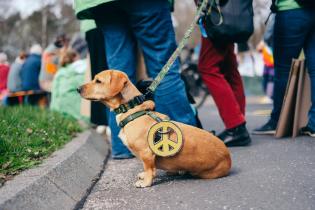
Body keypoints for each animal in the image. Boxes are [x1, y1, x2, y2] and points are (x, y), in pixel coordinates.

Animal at [78, 69, 232, 188]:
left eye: (98, 81)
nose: (77, 89)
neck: (132, 110)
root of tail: (228, 157)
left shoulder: (146, 153)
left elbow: (150, 169)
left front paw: (146, 182)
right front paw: (143, 176)